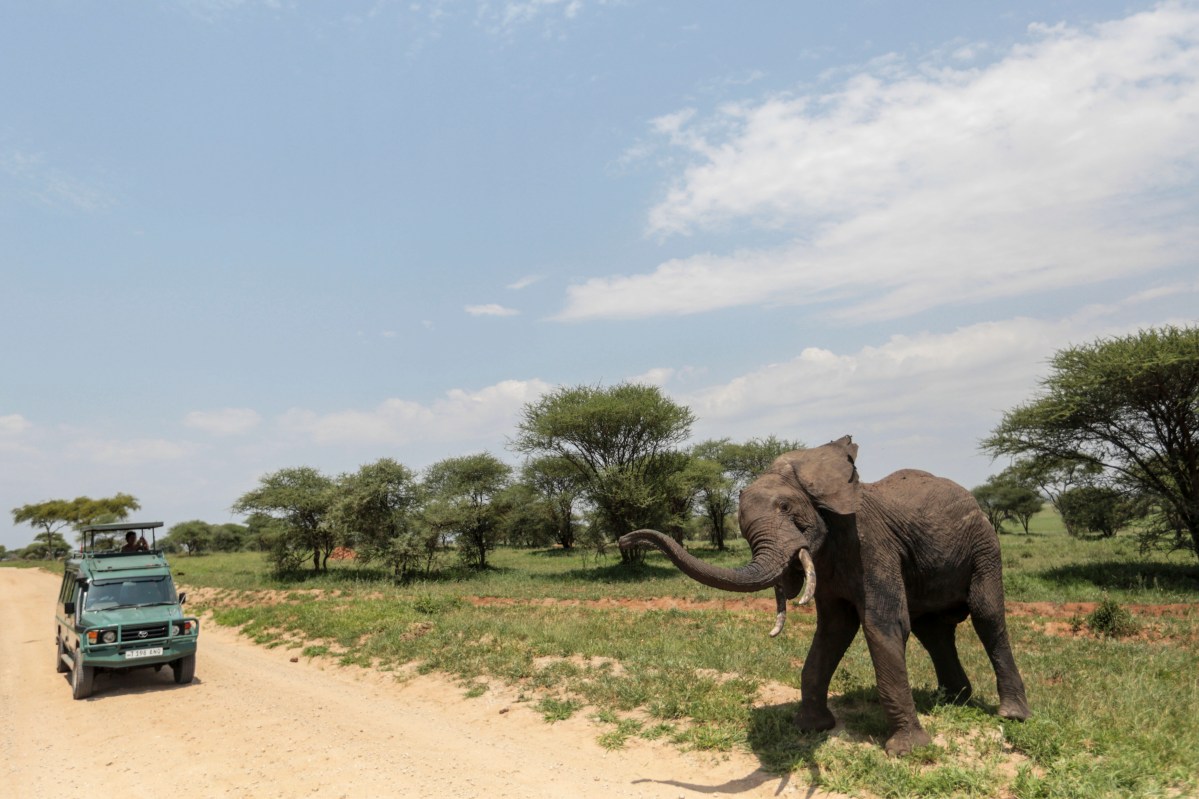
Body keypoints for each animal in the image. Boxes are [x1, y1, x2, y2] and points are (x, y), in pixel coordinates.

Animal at [618, 436, 1031, 753]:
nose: (625, 539)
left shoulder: (871, 546)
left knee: (987, 617)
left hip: (984, 547)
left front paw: (908, 751)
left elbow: (882, 626)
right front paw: (811, 727)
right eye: (743, 527)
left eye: (785, 506)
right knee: (933, 631)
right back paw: (952, 699)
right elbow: (832, 632)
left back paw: (1011, 715)